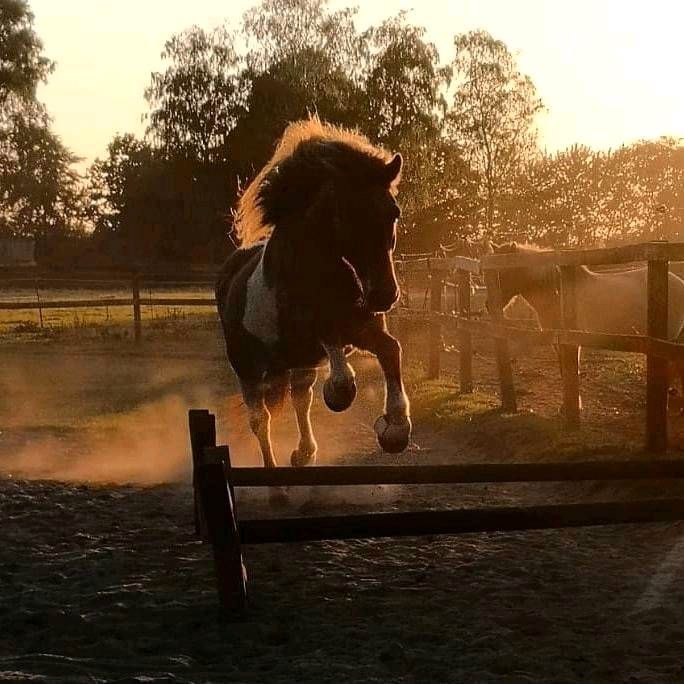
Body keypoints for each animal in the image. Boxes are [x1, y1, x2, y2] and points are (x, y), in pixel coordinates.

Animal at [215, 120, 412, 468]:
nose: (384, 295)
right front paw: (338, 392)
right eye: (346, 216)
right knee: (260, 419)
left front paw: (395, 428)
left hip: (296, 363)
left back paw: (303, 453)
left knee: (300, 399)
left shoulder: (365, 328)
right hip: (246, 364)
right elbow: (334, 348)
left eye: (394, 212)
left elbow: (391, 349)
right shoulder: (314, 329)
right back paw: (274, 468)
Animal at [488, 240, 684, 390]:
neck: (558, 292)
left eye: (504, 272)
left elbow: (571, 370)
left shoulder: (572, 341)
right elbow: (564, 370)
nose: (489, 306)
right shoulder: (558, 341)